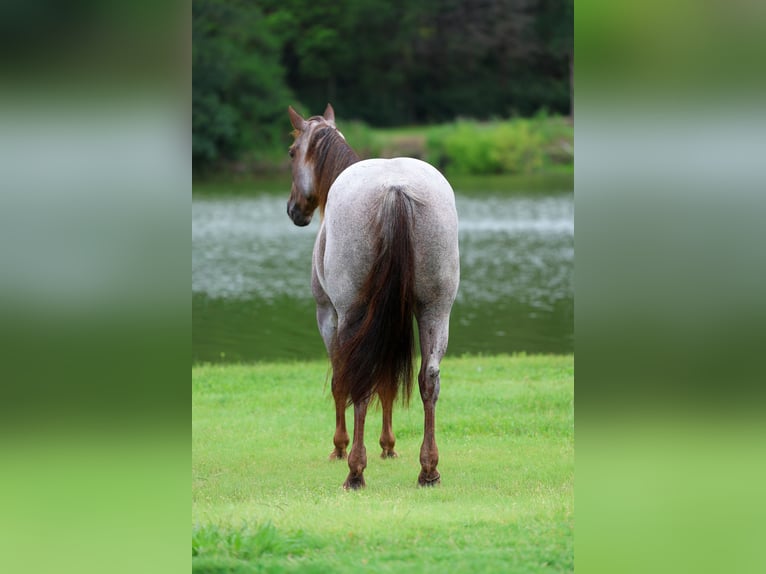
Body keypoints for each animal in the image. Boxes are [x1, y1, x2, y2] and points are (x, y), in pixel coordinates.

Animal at [286, 104, 459, 489]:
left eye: (291, 152)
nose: (293, 210)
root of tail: (395, 188)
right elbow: (388, 383)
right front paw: (389, 445)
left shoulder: (328, 316)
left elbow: (341, 379)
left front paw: (340, 446)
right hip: (435, 310)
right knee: (429, 379)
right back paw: (429, 469)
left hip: (352, 313)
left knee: (359, 380)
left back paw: (355, 471)